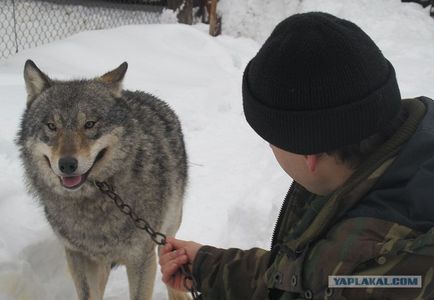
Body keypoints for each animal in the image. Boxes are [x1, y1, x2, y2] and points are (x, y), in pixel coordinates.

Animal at [17, 59, 190, 298]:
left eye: (89, 124)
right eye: (52, 126)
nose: (67, 164)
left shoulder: (141, 259)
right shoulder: (77, 255)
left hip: (167, 231)